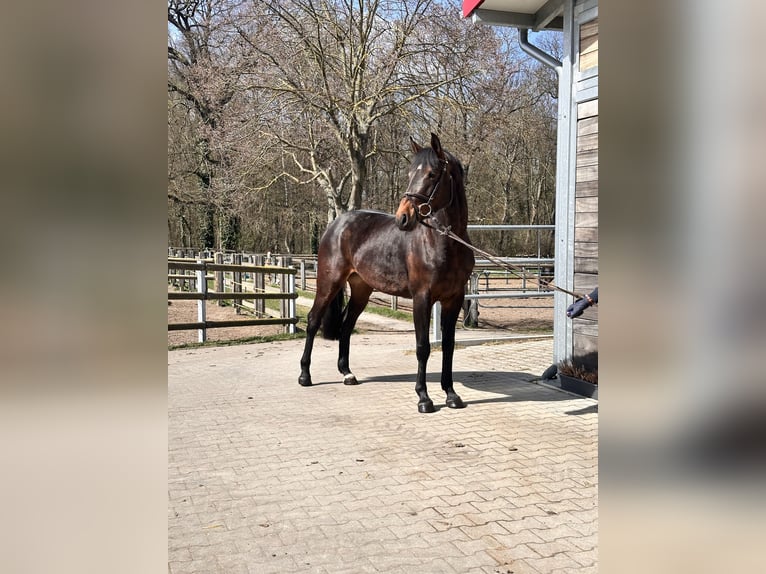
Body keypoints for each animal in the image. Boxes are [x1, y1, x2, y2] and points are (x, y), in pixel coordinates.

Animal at [298, 133, 475, 413]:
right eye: (410, 172)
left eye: (432, 174)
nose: (403, 217)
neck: (444, 242)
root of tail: (337, 224)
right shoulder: (421, 298)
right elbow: (422, 347)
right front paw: (424, 398)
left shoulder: (454, 300)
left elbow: (448, 346)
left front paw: (451, 394)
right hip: (329, 283)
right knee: (314, 320)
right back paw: (305, 375)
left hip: (361, 289)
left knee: (347, 325)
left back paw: (347, 373)